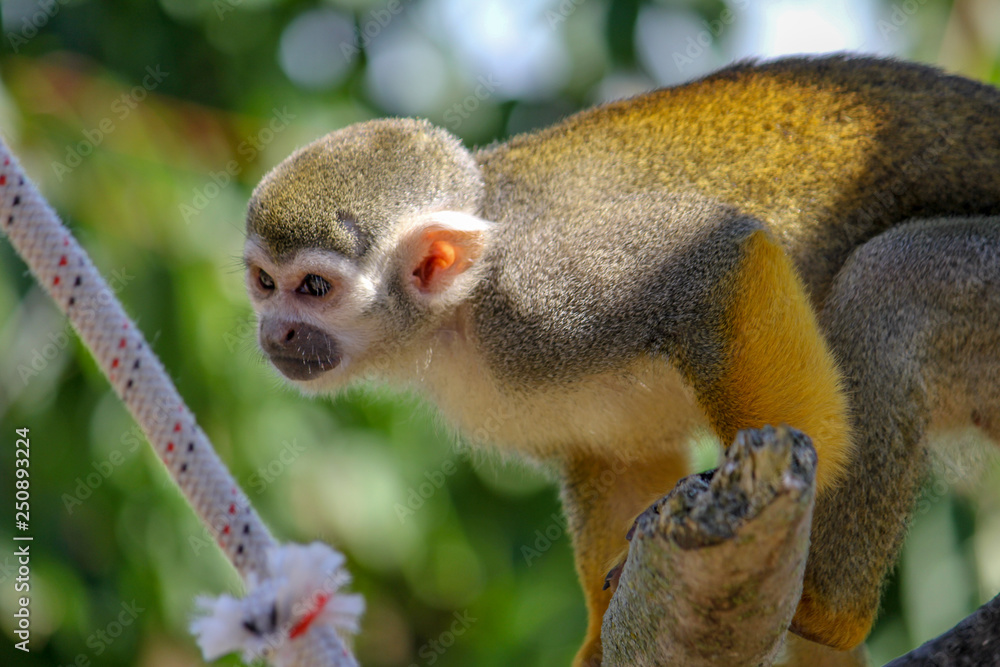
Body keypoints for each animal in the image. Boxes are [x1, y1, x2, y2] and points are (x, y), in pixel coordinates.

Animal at [241, 54, 1000, 666]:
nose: (275, 335)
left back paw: (829, 611)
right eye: (263, 282)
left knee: (887, 280)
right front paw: (596, 640)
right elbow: (614, 455)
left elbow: (717, 254)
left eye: (314, 288)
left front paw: (816, 453)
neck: (456, 315)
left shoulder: (542, 292)